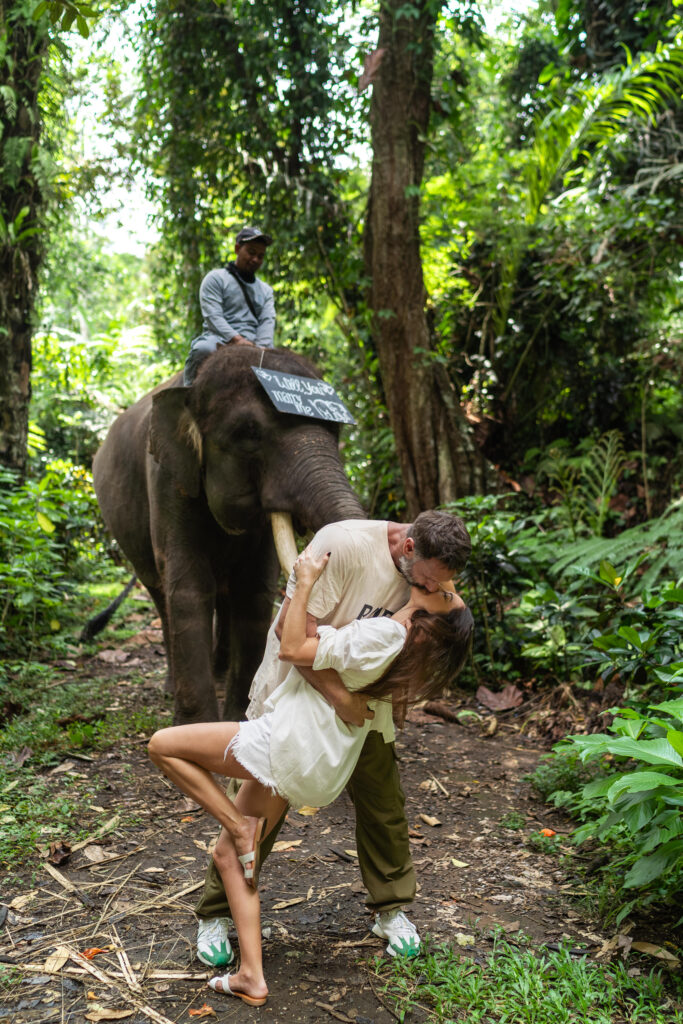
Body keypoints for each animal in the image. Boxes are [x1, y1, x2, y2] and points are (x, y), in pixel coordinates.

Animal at [92, 345, 365, 724]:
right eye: (248, 434)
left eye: (337, 431)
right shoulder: (169, 481)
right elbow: (188, 589)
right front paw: (195, 727)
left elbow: (254, 590)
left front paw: (238, 720)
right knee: (161, 593)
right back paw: (172, 685)